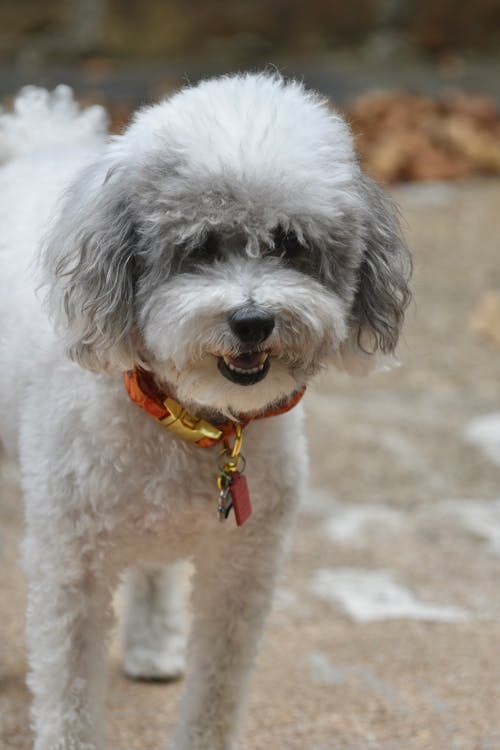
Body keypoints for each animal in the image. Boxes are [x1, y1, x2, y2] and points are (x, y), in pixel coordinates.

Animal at [0, 72, 410, 750]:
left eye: (289, 244)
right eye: (198, 248)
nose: (252, 321)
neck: (195, 421)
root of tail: (41, 144)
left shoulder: (243, 572)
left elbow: (216, 690)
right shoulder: (70, 568)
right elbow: (69, 695)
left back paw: (152, 646)